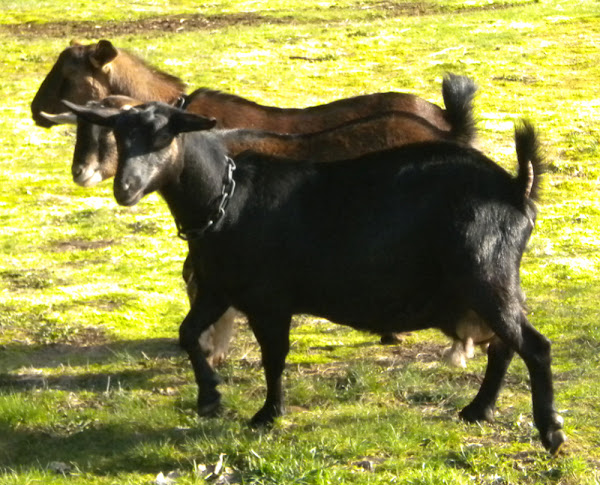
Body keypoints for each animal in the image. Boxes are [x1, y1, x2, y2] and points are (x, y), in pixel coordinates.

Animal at [67, 100, 568, 452]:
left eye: (164, 136)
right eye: (119, 134)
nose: (126, 188)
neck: (226, 200)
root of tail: (515, 189)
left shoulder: (269, 299)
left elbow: (274, 358)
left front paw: (268, 414)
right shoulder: (218, 288)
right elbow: (188, 333)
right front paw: (210, 397)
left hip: (486, 276)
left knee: (534, 346)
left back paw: (550, 431)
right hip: (490, 286)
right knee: (504, 346)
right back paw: (478, 410)